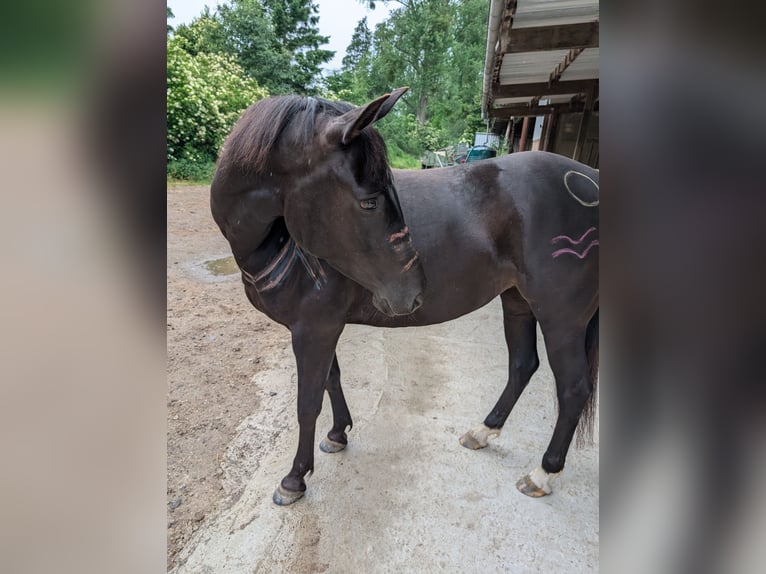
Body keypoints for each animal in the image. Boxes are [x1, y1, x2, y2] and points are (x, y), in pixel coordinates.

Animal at [210, 88, 599, 506]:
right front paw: (338, 434)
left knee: (573, 388)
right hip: (517, 303)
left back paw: (543, 473)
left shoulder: (314, 329)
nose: (413, 292)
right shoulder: (320, 328)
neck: (278, 242)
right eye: (369, 201)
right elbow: (333, 379)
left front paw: (295, 478)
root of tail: (589, 180)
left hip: (561, 318)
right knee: (523, 366)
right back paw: (482, 432)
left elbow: (308, 403)